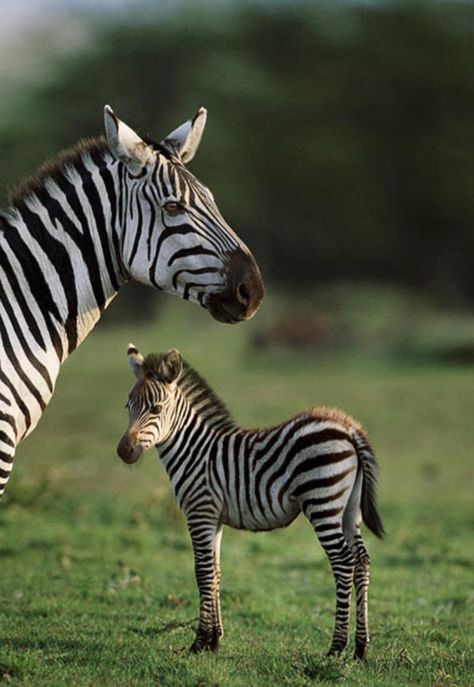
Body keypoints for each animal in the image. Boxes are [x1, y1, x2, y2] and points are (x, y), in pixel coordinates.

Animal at [116, 346, 384, 660]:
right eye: (128, 406)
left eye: (156, 409)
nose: (123, 451)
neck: (193, 449)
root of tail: (349, 428)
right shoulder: (214, 518)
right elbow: (215, 572)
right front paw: (215, 640)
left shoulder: (199, 511)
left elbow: (202, 572)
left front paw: (199, 643)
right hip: (349, 510)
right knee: (362, 561)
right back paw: (361, 647)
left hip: (323, 503)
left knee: (343, 562)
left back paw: (336, 646)